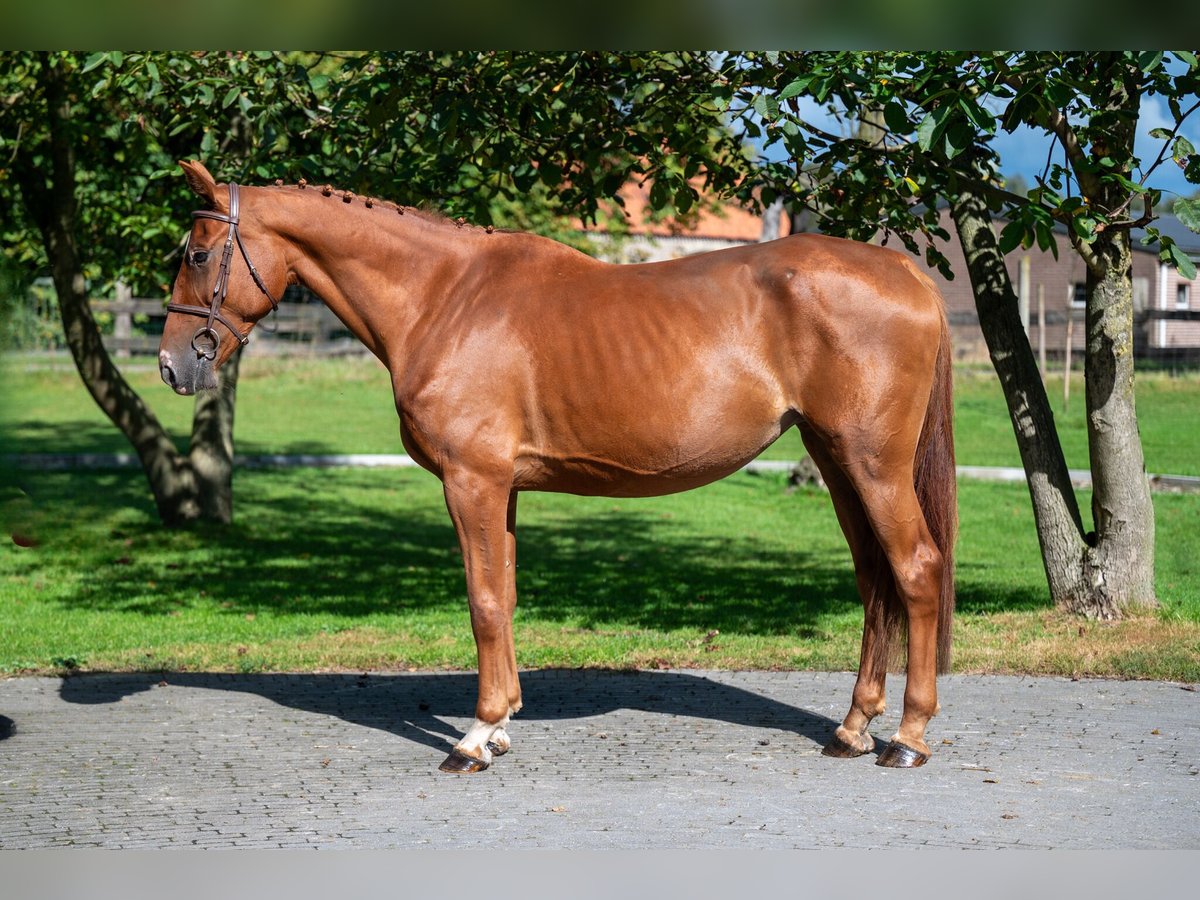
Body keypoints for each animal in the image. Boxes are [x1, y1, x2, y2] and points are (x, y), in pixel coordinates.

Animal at [159, 162, 955, 777]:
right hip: (836, 460)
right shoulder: (502, 488)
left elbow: (482, 601)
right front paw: (502, 726)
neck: (445, 296)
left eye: (197, 253)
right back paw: (852, 728)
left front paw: (474, 739)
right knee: (874, 578)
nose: (172, 365)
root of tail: (905, 270)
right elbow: (505, 597)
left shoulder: (471, 482)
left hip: (873, 464)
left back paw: (907, 738)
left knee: (915, 568)